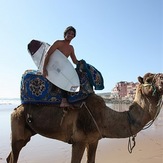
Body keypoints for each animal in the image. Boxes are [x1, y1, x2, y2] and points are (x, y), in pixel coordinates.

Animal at [6, 73, 163, 162]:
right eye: (149, 79)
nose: (162, 78)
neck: (103, 117)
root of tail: (17, 108)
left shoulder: (93, 140)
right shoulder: (78, 141)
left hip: (26, 133)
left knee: (10, 157)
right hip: (17, 130)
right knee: (13, 156)